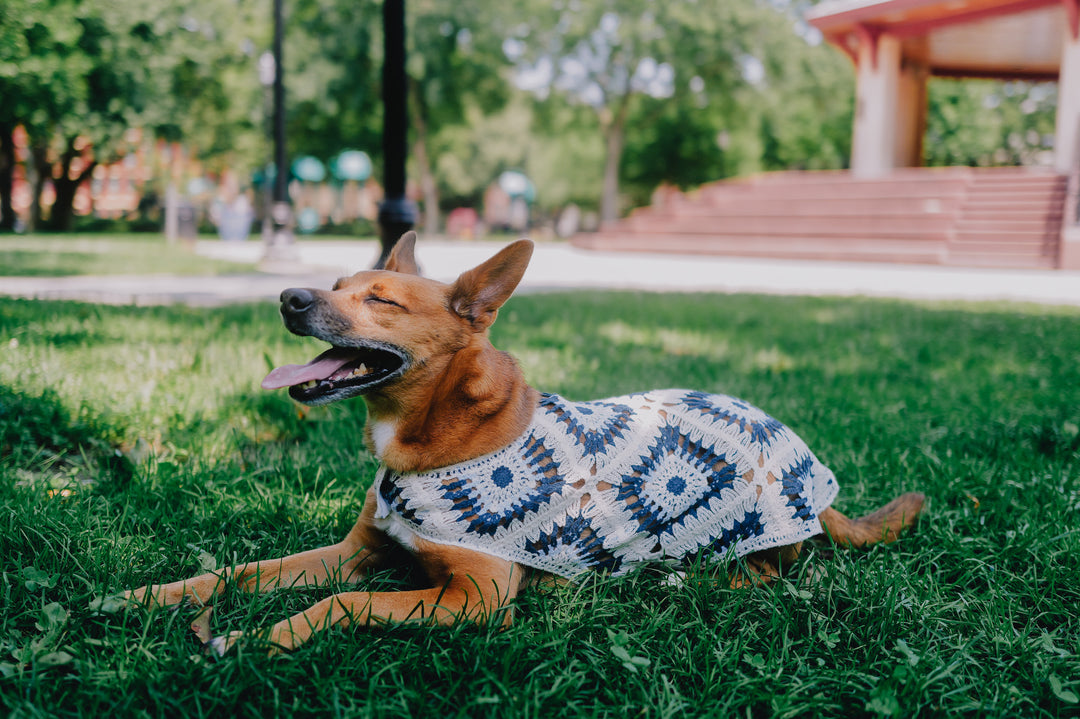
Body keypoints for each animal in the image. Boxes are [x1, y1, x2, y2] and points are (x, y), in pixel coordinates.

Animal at [126, 232, 920, 652]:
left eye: (381, 299)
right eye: (337, 281)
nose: (289, 300)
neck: (439, 434)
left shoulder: (476, 596)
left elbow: (344, 603)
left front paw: (258, 638)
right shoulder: (353, 553)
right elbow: (239, 571)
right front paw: (143, 595)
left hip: (748, 541)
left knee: (763, 574)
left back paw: (677, 579)